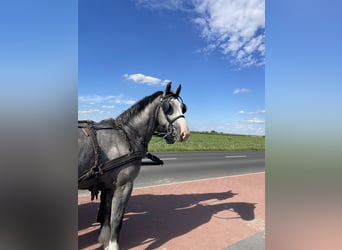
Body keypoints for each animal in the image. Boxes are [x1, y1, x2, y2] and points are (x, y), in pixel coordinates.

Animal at [78, 82, 190, 250]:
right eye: (168, 107)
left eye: (183, 108)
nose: (185, 133)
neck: (127, 134)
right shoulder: (124, 185)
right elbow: (116, 218)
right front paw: (113, 245)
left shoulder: (110, 185)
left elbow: (107, 212)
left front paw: (105, 238)